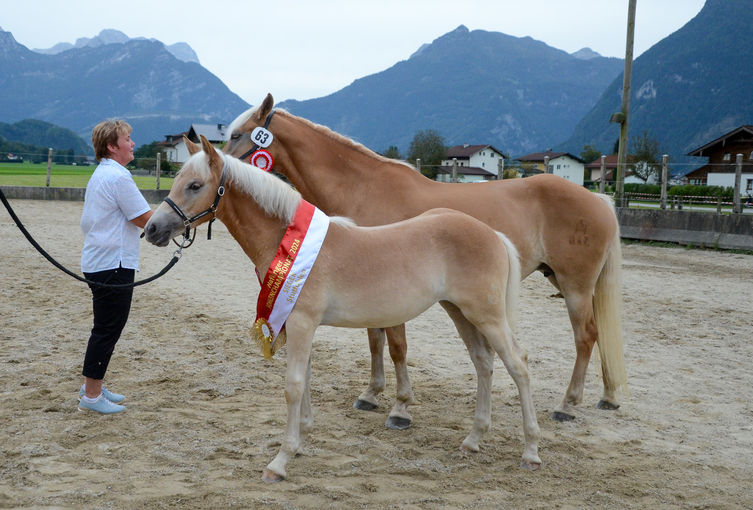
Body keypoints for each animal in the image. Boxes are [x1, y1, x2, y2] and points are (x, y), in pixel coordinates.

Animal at [142, 134, 540, 482]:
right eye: (179, 181)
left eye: (195, 185)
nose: (152, 229)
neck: (286, 241)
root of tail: (493, 235)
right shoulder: (294, 323)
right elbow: (305, 380)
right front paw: (301, 443)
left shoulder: (301, 323)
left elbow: (293, 384)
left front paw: (280, 461)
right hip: (460, 312)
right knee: (484, 363)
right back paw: (473, 440)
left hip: (486, 315)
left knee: (518, 365)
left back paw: (531, 451)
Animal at [225, 93, 628, 424]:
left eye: (237, 135)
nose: (220, 169)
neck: (364, 187)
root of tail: (599, 200)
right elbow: (375, 341)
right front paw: (371, 394)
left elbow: (397, 347)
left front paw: (401, 406)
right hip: (563, 279)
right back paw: (607, 396)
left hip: (574, 286)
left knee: (585, 336)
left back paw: (567, 405)